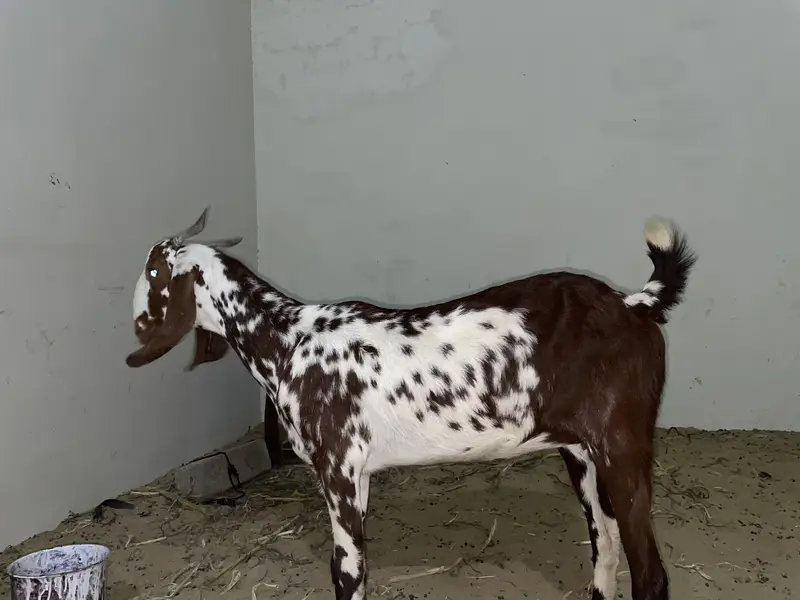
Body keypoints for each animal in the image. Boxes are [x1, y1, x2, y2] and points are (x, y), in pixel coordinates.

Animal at [127, 208, 696, 600]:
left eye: (154, 273)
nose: (133, 327)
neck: (289, 340)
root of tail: (633, 304)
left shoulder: (337, 468)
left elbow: (346, 571)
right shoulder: (358, 476)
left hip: (623, 445)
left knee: (650, 574)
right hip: (582, 454)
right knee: (606, 545)